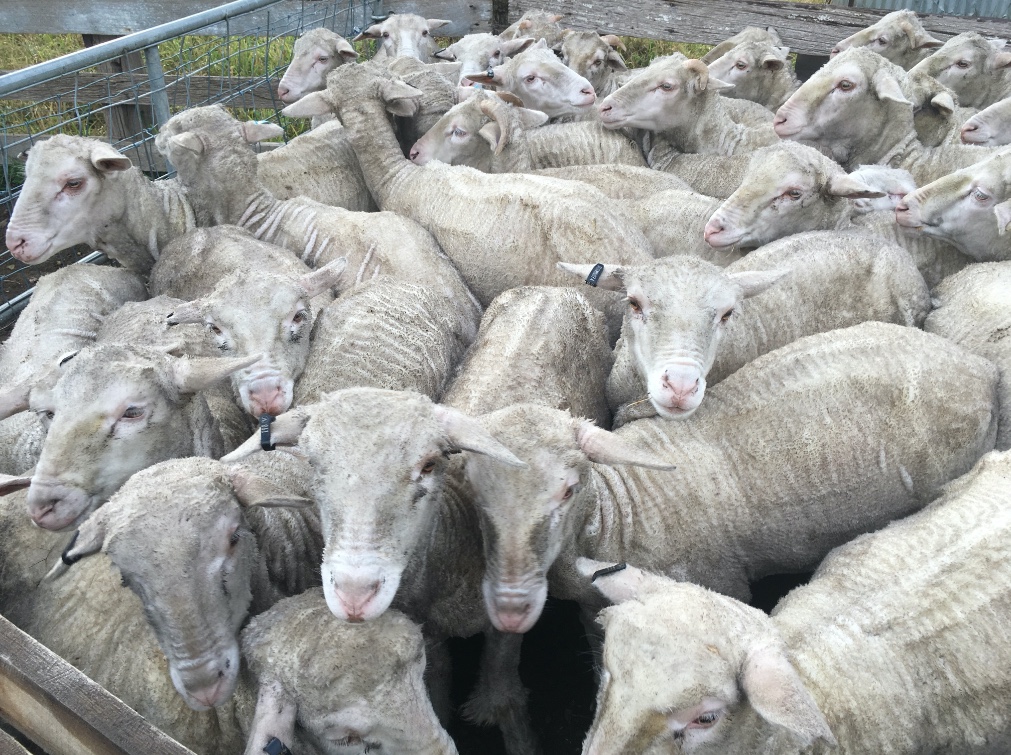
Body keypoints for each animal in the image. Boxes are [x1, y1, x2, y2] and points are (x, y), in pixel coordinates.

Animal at [458, 322, 996, 634]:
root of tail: (981, 368)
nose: (509, 610)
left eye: (569, 489)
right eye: (476, 492)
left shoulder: (722, 585)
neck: (619, 510)